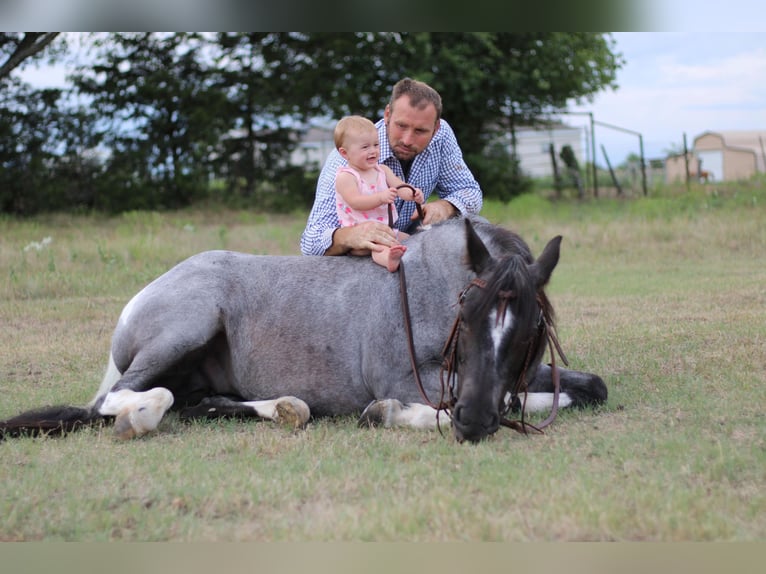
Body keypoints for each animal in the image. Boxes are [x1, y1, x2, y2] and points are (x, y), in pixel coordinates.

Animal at [1, 216, 612, 446]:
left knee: (200, 404)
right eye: (470, 313)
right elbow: (410, 404)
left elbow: (592, 388)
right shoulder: (407, 379)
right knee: (125, 399)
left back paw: (287, 409)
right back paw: (140, 416)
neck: (434, 284)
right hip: (185, 328)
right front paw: (385, 414)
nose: (474, 421)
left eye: (529, 329)